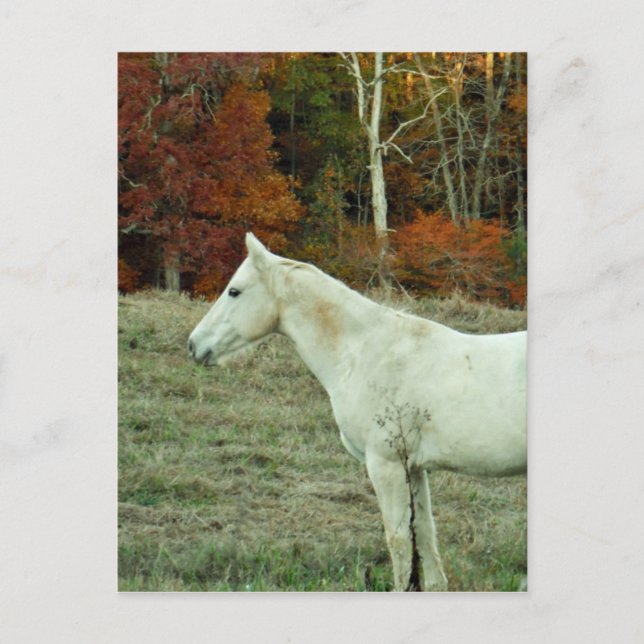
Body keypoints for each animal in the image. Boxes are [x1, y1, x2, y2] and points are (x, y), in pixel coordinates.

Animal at [188, 233, 527, 591]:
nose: (194, 345)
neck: (366, 353)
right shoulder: (413, 468)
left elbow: (398, 539)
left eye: (234, 291)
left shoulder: (386, 465)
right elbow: (423, 534)